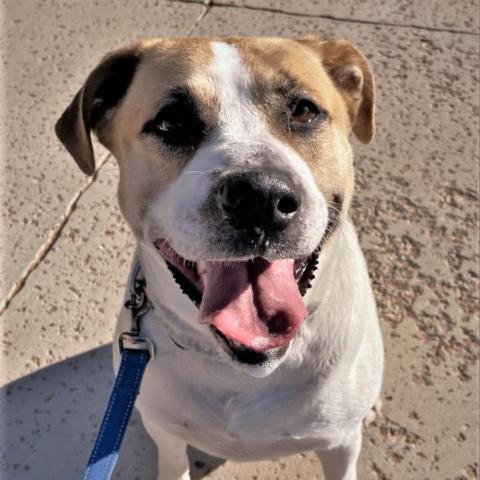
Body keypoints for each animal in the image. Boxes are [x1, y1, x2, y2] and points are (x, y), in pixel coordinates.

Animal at [56, 36, 384, 480]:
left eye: (303, 111)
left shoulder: (339, 445)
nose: (260, 198)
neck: (242, 372)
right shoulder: (167, 433)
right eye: (171, 123)